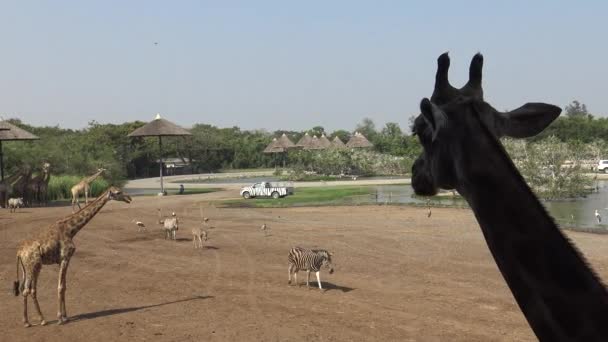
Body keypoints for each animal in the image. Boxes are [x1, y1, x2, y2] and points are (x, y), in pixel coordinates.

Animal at [12, 186, 131, 328]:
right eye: (118, 193)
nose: (129, 198)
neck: (71, 230)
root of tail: (19, 252)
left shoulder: (62, 261)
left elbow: (64, 286)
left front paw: (66, 317)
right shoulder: (65, 258)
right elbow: (60, 287)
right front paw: (60, 318)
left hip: (31, 267)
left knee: (30, 289)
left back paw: (38, 320)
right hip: (32, 266)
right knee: (26, 290)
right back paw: (30, 322)